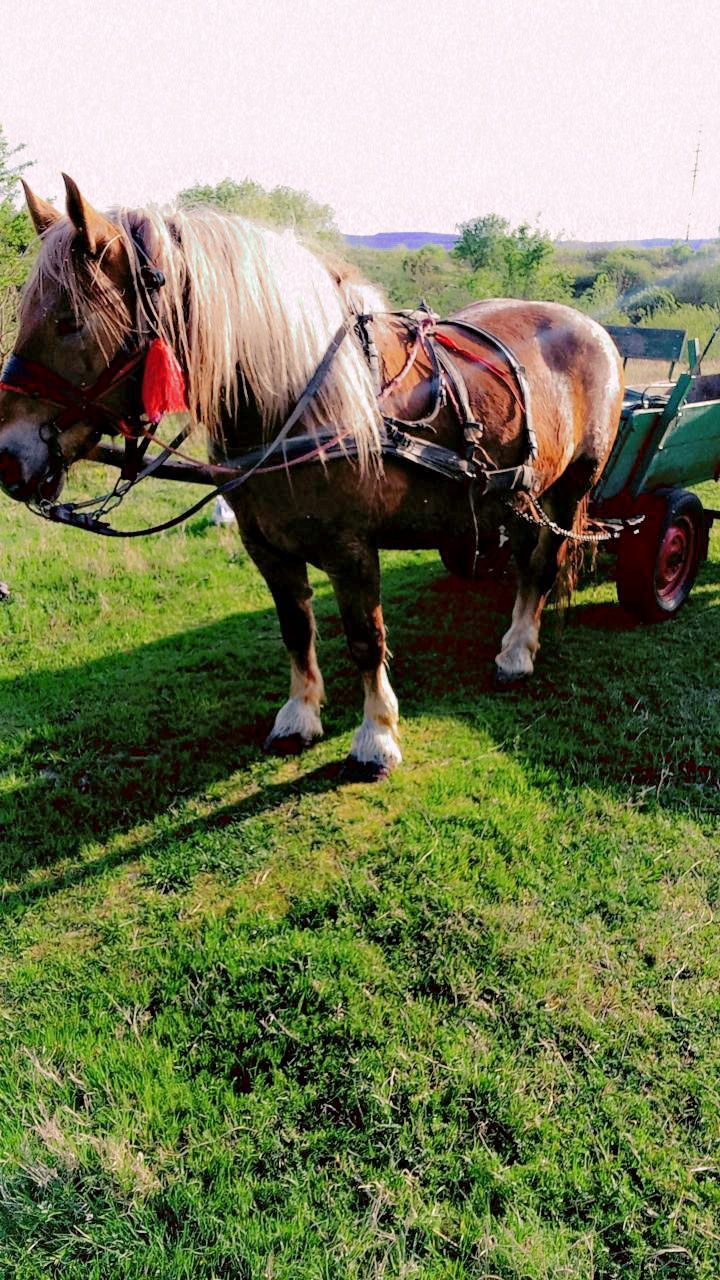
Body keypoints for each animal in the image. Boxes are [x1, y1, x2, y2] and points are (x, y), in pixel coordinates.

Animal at [0, 180, 622, 778]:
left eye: (69, 322)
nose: (8, 456)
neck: (296, 406)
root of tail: (592, 328)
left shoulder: (352, 549)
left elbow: (366, 638)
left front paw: (376, 737)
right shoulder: (265, 545)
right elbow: (295, 628)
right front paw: (299, 715)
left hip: (570, 488)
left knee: (542, 565)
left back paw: (517, 652)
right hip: (518, 494)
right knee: (522, 558)